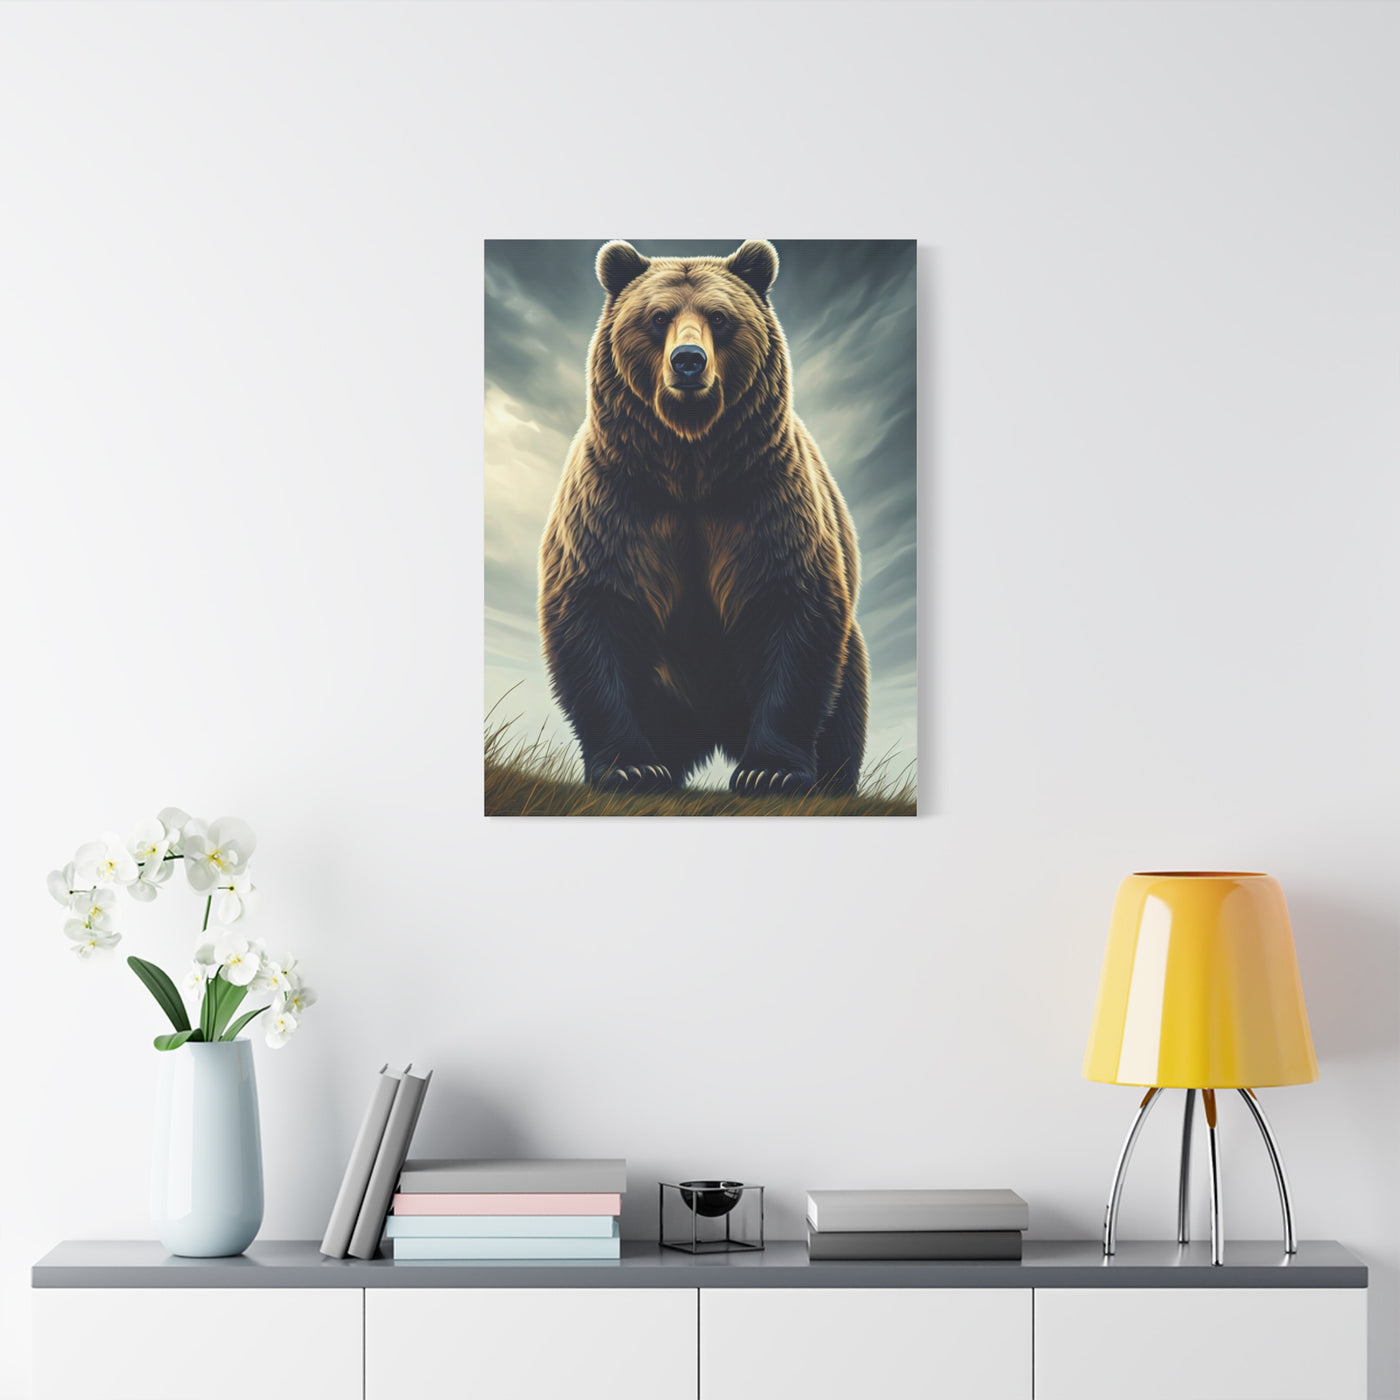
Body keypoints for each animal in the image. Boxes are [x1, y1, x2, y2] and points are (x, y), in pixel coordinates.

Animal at [538, 239, 868, 797]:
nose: (688, 361)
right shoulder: (615, 504)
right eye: (657, 317)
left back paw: (832, 779)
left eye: (719, 316)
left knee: (845, 700)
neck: (690, 465)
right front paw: (630, 767)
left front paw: (771, 771)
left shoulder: (768, 503)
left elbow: (794, 614)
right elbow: (593, 613)